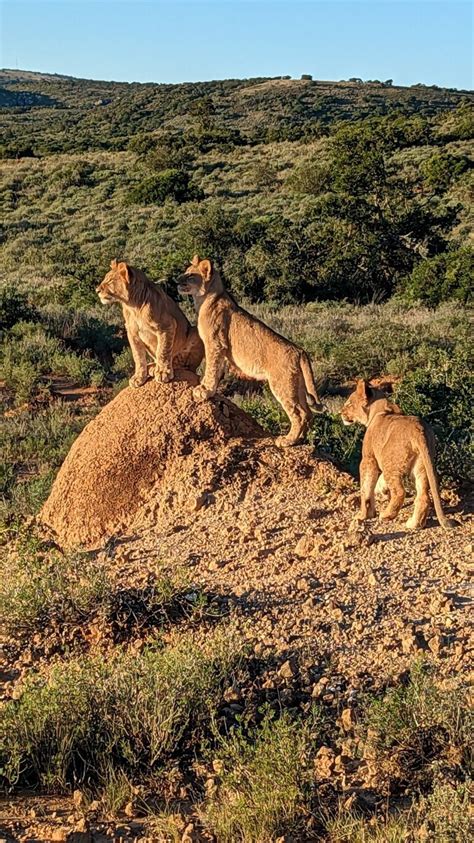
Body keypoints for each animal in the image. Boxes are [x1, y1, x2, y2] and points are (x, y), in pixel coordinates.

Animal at [97, 258, 203, 388]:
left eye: (110, 280)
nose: (97, 290)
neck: (133, 305)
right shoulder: (132, 333)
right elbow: (138, 356)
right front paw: (139, 377)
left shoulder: (167, 325)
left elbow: (163, 351)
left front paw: (163, 372)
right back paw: (152, 367)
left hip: (196, 332)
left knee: (185, 366)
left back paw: (163, 368)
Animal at [178, 256, 326, 448]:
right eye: (186, 272)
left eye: (190, 275)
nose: (177, 280)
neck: (205, 297)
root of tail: (300, 351)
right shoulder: (222, 349)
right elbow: (217, 370)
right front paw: (211, 389)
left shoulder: (215, 343)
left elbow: (211, 368)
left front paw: (204, 390)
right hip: (297, 385)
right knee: (308, 413)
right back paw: (299, 440)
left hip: (281, 384)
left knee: (299, 414)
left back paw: (287, 440)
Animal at [342, 380, 450, 532]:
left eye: (349, 404)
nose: (340, 413)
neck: (379, 408)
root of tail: (418, 430)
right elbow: (376, 483)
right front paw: (381, 490)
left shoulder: (368, 459)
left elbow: (365, 488)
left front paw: (363, 515)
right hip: (422, 465)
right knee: (423, 496)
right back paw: (414, 524)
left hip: (390, 463)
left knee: (400, 492)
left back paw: (387, 515)